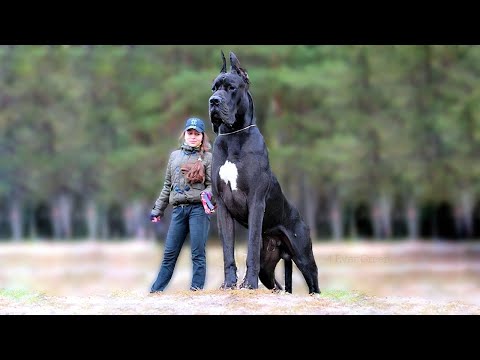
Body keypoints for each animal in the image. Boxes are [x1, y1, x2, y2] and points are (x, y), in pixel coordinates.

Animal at [208, 51, 320, 296]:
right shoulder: (222, 206)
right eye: (214, 88)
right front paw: (229, 284)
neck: (234, 135)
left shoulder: (256, 201)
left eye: (231, 87)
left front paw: (248, 285)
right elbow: (227, 251)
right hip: (267, 268)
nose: (213, 101)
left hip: (303, 255)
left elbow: (250, 248)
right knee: (277, 285)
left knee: (314, 283)